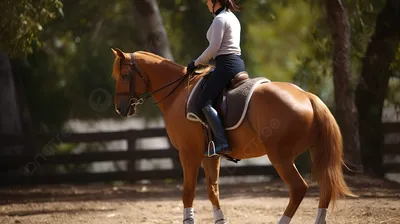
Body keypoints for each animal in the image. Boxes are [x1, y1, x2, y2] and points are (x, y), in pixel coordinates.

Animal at [111, 49, 354, 224]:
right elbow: (212, 191)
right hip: (315, 152)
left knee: (298, 188)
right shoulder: (209, 155)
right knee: (325, 187)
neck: (179, 94)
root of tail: (308, 97)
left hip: (280, 157)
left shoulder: (189, 154)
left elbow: (188, 192)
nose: (120, 109)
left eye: (124, 75)